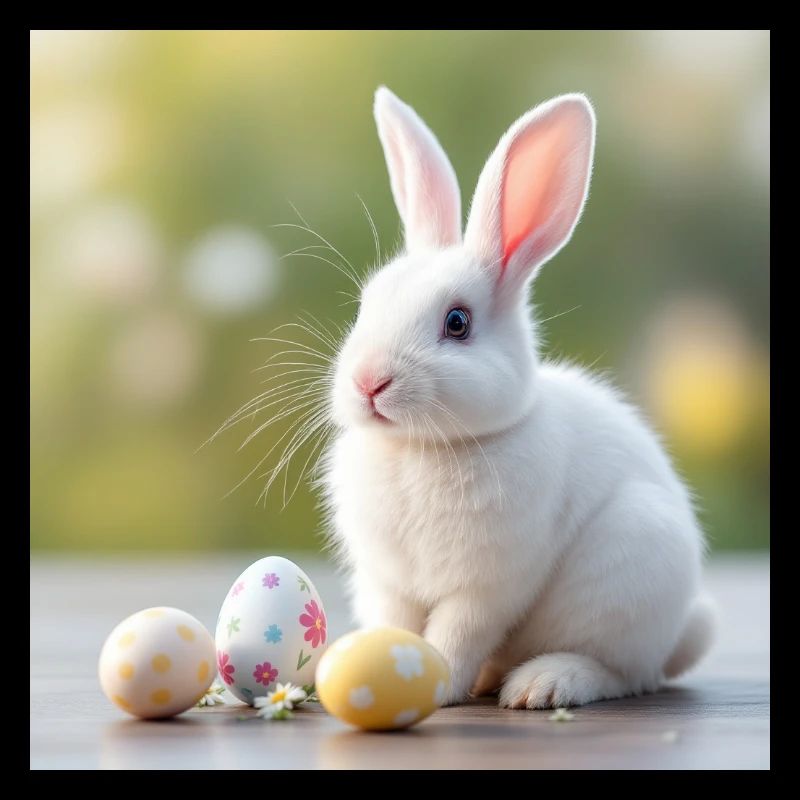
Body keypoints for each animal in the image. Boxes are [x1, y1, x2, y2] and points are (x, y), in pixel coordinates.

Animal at [320, 86, 716, 708]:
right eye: (366, 305)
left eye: (457, 323)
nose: (368, 382)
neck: (421, 448)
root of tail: (681, 630)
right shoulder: (388, 583)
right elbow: (396, 624)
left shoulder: (487, 588)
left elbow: (456, 635)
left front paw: (438, 683)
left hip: (629, 572)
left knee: (625, 673)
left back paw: (543, 685)